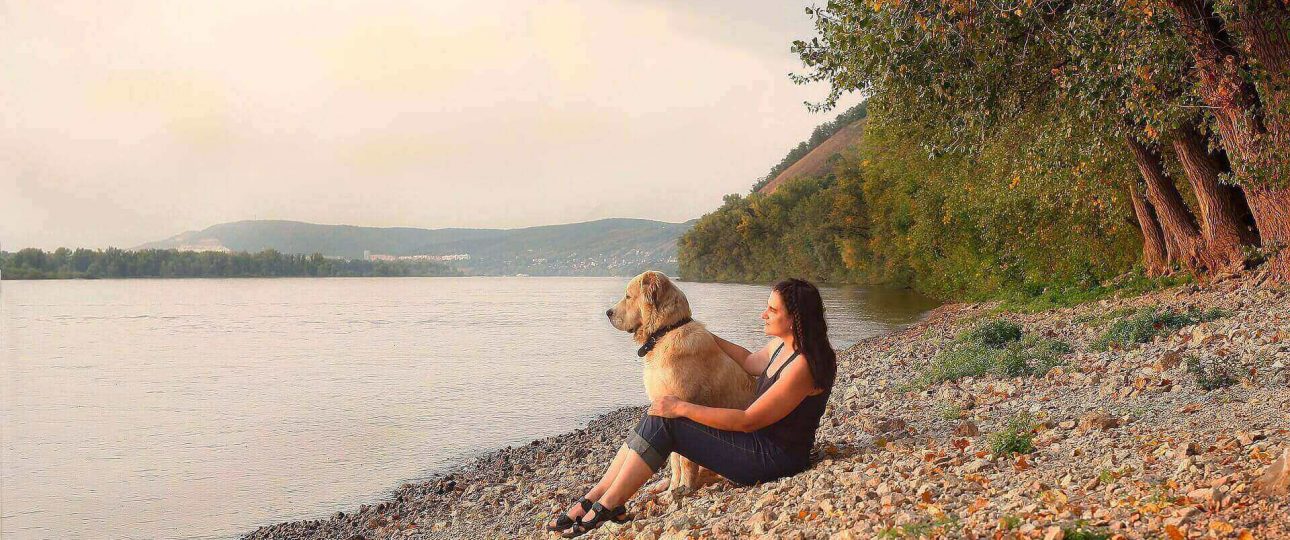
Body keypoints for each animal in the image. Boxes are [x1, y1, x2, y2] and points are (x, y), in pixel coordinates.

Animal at [606, 271, 756, 492]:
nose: (608, 312)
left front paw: (684, 486)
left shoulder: (679, 408)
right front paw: (673, 488)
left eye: (628, 296)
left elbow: (684, 460)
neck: (665, 332)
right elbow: (674, 460)